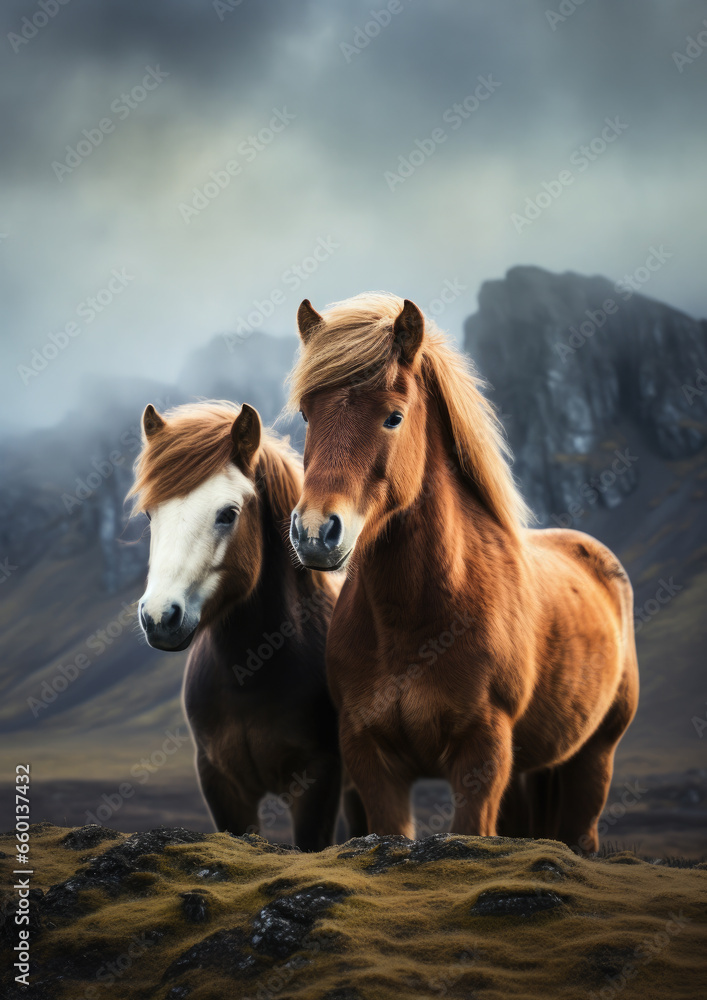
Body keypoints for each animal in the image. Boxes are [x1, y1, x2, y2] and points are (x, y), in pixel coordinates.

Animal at [127, 399, 365, 851]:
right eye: (150, 514)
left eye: (227, 514)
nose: (159, 617)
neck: (248, 674)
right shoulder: (221, 785)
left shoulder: (317, 779)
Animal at [285, 292, 639, 854]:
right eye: (306, 412)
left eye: (393, 417)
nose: (316, 532)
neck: (416, 622)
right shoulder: (369, 756)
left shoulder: (483, 752)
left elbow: (472, 829)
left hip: (594, 756)